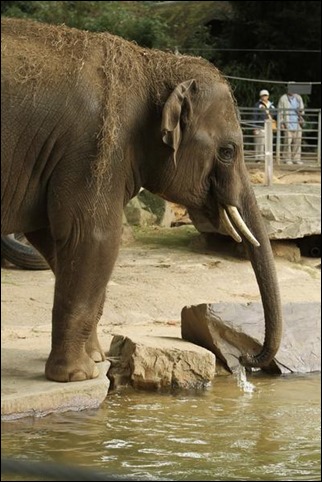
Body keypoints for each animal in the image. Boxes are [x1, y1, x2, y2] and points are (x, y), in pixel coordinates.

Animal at [0, 18, 282, 382]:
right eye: (228, 151)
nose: (247, 359)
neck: (153, 65)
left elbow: (55, 240)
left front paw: (96, 359)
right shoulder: (95, 147)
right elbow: (93, 237)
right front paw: (79, 375)